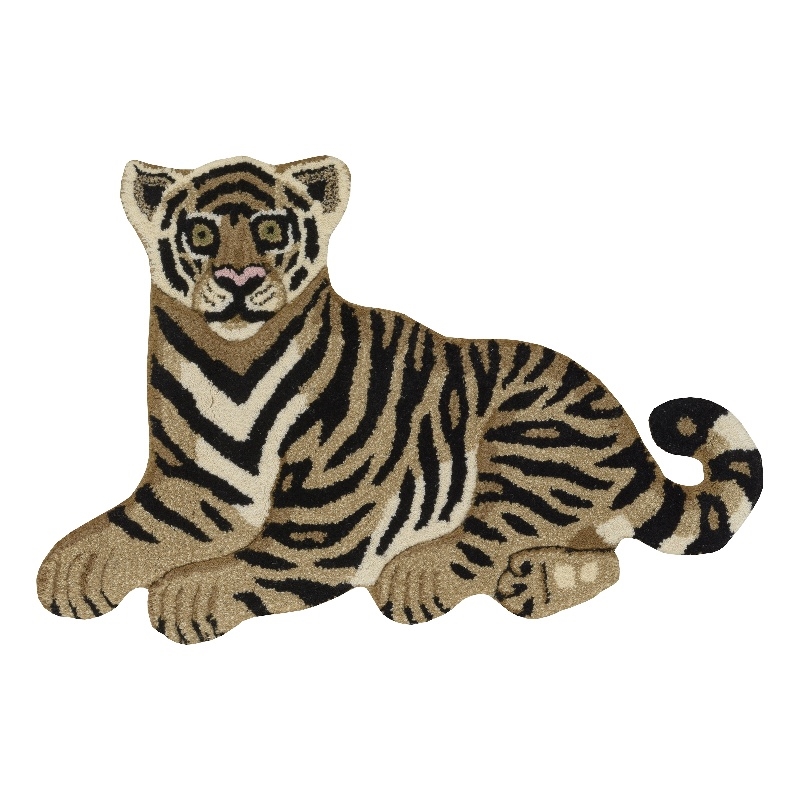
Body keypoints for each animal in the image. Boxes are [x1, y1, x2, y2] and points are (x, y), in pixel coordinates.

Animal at [36, 155, 763, 644]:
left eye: (270, 233)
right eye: (203, 235)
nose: (239, 279)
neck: (234, 363)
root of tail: (628, 431)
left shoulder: (320, 526)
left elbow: (248, 564)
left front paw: (183, 596)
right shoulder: (196, 486)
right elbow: (125, 528)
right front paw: (68, 575)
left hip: (525, 436)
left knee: (488, 538)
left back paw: (423, 578)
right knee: (605, 556)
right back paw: (536, 582)